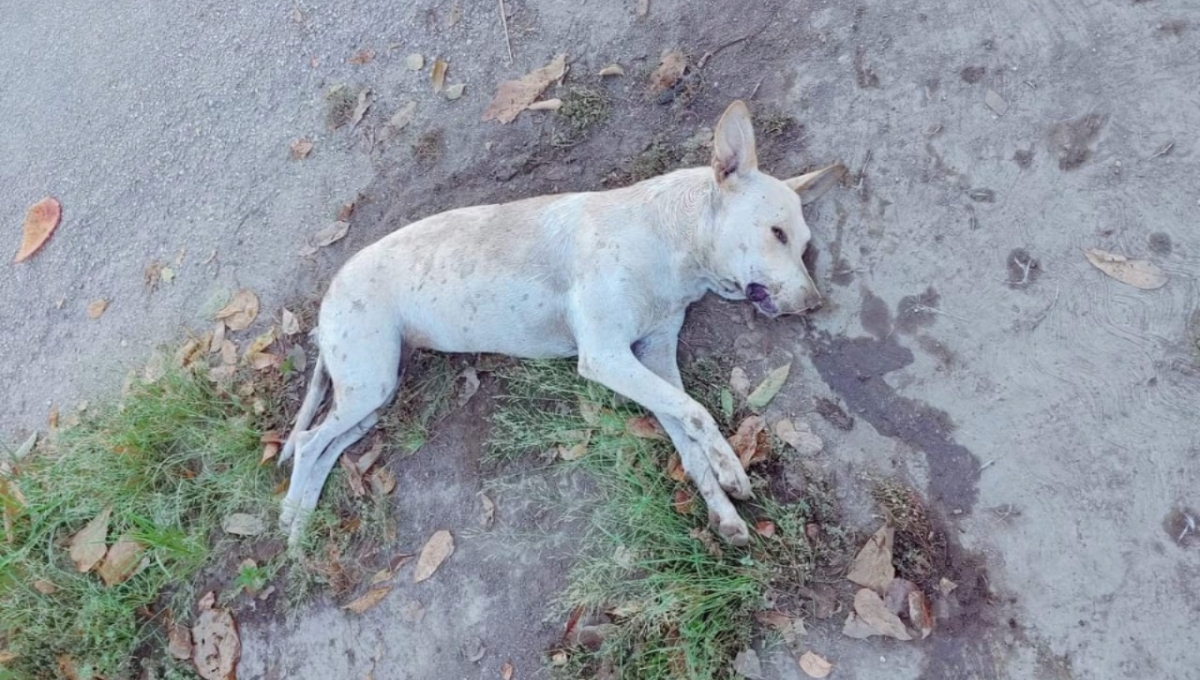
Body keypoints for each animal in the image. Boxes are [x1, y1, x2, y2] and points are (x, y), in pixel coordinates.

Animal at [279, 99, 844, 549]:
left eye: (804, 245)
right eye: (776, 233)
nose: (813, 303)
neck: (668, 244)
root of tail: (330, 291)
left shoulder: (653, 357)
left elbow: (686, 433)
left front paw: (722, 509)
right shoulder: (606, 357)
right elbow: (698, 413)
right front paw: (731, 469)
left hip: (374, 394)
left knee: (327, 445)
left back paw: (299, 511)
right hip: (368, 383)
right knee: (307, 441)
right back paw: (296, 530)